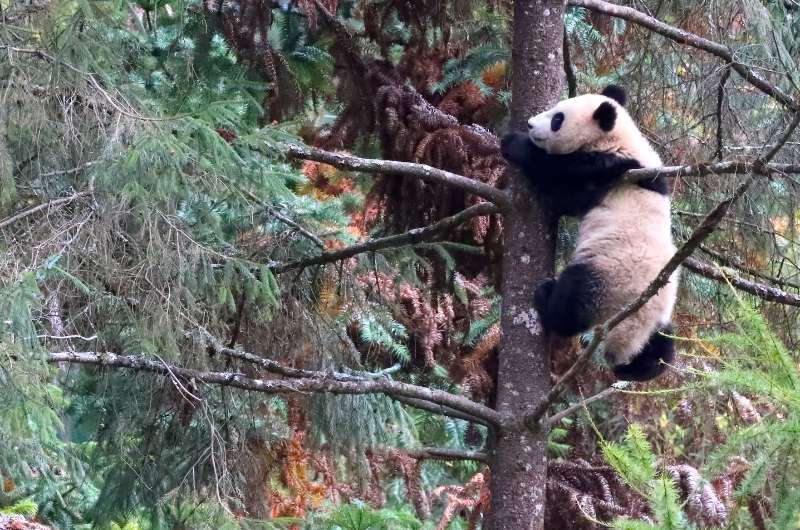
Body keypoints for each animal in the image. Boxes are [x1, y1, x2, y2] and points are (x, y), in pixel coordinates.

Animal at [504, 84, 680, 380]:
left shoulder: (613, 173)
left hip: (607, 273)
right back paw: (639, 367)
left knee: (572, 300)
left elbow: (559, 179)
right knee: (663, 348)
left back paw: (547, 299)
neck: (618, 137)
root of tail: (633, 320)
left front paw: (514, 144)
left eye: (558, 118)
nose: (530, 124)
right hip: (660, 313)